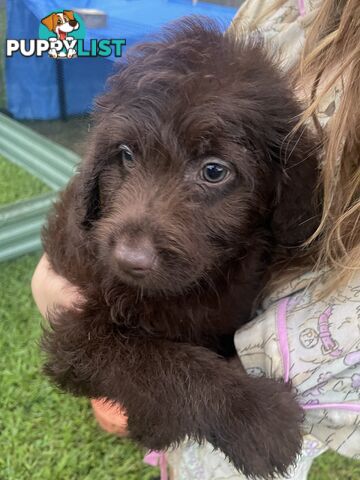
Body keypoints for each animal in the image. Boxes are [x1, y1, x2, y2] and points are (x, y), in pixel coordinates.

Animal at [40, 16, 320, 478]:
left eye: (214, 171)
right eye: (126, 155)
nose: (129, 259)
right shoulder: (76, 336)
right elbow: (157, 360)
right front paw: (257, 416)